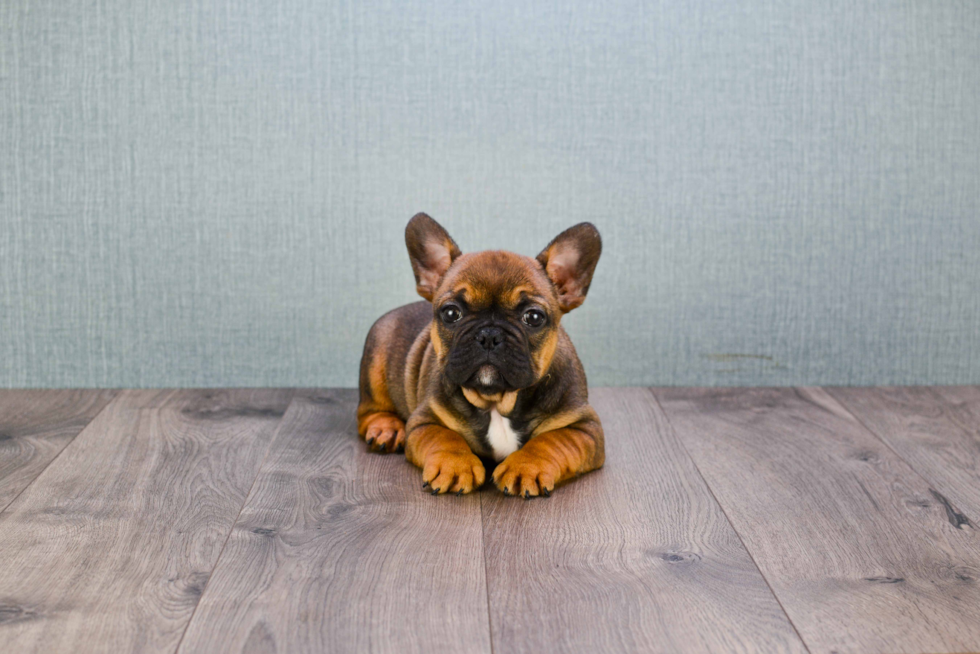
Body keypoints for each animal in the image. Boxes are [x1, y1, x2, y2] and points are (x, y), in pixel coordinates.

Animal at [356, 213, 600, 500]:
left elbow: (550, 441)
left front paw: (526, 466)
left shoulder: (584, 427)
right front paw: (454, 464)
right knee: (368, 411)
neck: (495, 399)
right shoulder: (425, 420)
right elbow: (445, 438)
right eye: (451, 313)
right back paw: (386, 429)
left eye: (534, 317)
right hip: (375, 361)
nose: (489, 335)